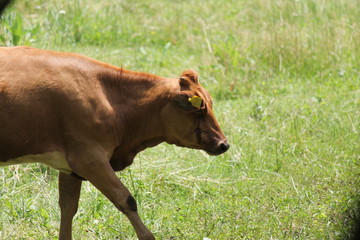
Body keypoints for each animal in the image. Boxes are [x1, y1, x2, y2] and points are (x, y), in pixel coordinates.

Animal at [0, 46, 229, 239]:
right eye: (199, 109)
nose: (223, 144)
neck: (107, 97)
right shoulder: (89, 159)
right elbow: (126, 199)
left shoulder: (70, 167)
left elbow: (68, 208)